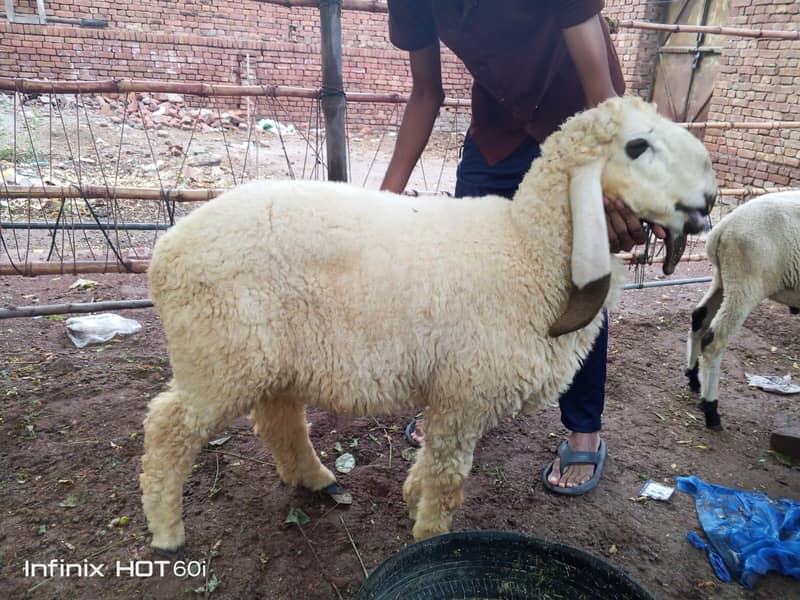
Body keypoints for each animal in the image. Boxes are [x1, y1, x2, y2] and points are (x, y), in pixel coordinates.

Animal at [140, 96, 717, 552]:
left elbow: (433, 461)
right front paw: (430, 532)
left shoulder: (452, 393)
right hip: (218, 352)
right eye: (637, 147)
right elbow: (448, 475)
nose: (710, 197)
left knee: (278, 419)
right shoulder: (465, 392)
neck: (526, 249)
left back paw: (315, 478)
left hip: (269, 355)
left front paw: (411, 493)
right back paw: (167, 530)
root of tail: (166, 250)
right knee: (169, 427)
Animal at [685, 191, 800, 429]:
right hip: (746, 284)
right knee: (715, 341)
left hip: (723, 278)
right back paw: (710, 409)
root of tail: (723, 228)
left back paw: (693, 377)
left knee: (699, 317)